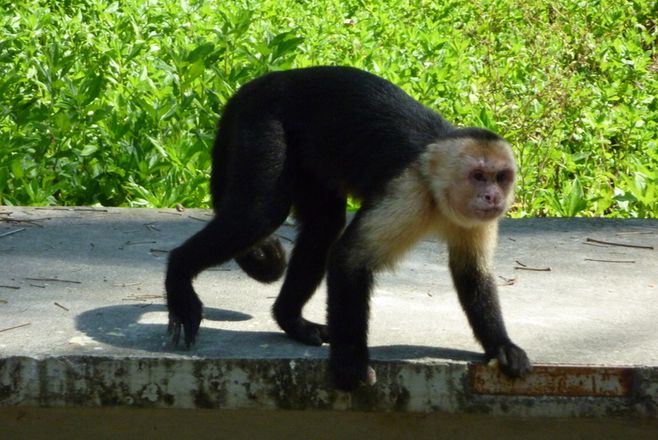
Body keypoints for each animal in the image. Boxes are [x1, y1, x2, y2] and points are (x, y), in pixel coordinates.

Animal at [165, 66, 531, 391]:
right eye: (478, 176)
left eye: (501, 177)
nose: (492, 196)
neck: (437, 193)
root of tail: (266, 81)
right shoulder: (408, 192)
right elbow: (349, 258)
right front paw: (351, 365)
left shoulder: (474, 218)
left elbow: (472, 273)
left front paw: (501, 346)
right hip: (263, 124)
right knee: (259, 215)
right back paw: (179, 272)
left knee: (323, 226)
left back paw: (291, 320)